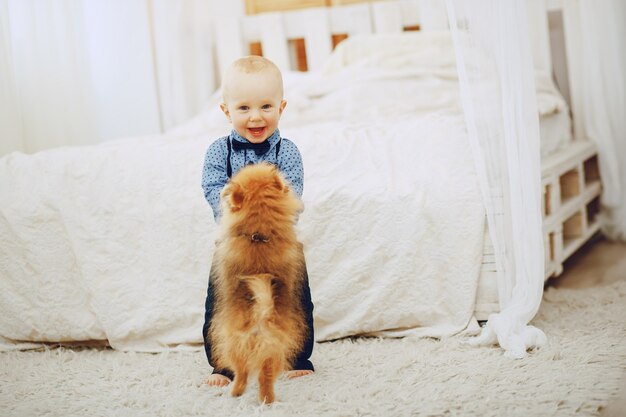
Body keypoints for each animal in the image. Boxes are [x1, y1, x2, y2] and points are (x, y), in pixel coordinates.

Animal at [208, 162, 306, 404]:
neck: (259, 233)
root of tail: (261, 314)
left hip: (232, 342)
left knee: (242, 370)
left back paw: (236, 391)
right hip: (274, 346)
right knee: (266, 374)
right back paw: (266, 400)